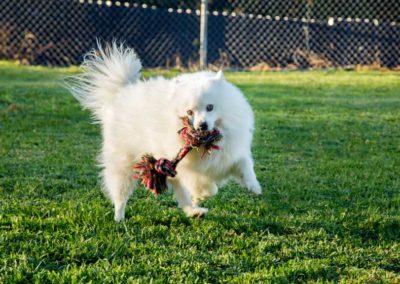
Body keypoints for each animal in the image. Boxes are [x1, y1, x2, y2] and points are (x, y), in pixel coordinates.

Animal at [68, 42, 262, 221]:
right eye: (189, 112)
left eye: (210, 107)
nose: (201, 126)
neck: (206, 144)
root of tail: (122, 92)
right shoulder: (188, 167)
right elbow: (201, 183)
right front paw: (204, 192)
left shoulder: (231, 152)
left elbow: (245, 165)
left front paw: (254, 186)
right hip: (125, 162)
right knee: (120, 194)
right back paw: (119, 218)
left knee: (180, 193)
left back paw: (194, 211)